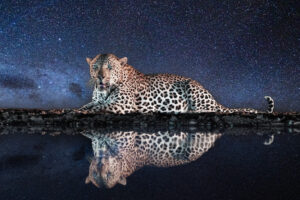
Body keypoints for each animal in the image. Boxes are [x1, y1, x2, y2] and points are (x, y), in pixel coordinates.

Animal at [77, 53, 274, 114]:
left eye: (110, 67)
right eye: (95, 67)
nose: (101, 77)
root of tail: (215, 100)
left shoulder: (122, 105)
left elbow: (97, 109)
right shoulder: (96, 100)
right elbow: (87, 106)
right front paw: (77, 110)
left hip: (193, 89)